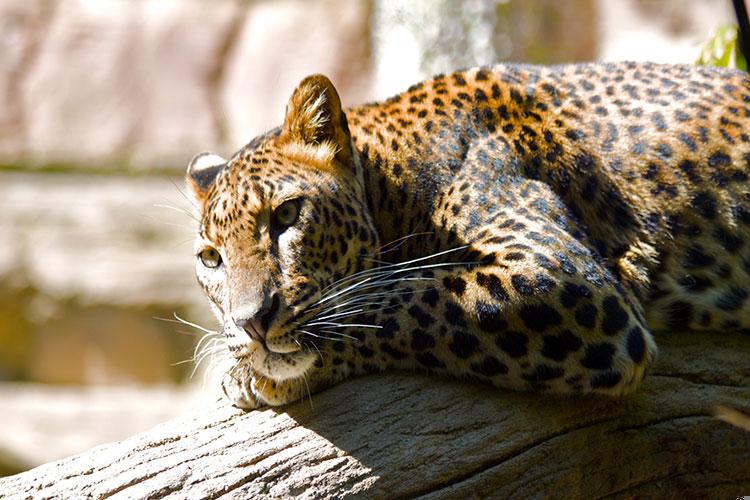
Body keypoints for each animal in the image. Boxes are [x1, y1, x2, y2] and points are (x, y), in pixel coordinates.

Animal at [187, 60, 750, 408]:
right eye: (211, 259)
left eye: (286, 215)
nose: (251, 323)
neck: (395, 180)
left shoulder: (563, 278)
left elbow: (408, 299)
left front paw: (255, 373)